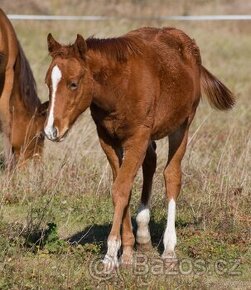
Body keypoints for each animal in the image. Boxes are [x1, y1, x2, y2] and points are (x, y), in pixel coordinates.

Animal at [44, 27, 234, 270]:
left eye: (73, 83)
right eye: (48, 84)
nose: (51, 131)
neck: (119, 87)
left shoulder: (137, 138)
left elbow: (121, 188)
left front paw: (110, 255)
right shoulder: (108, 140)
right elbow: (121, 187)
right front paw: (126, 251)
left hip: (182, 125)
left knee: (172, 175)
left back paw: (169, 248)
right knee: (151, 163)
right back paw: (143, 235)